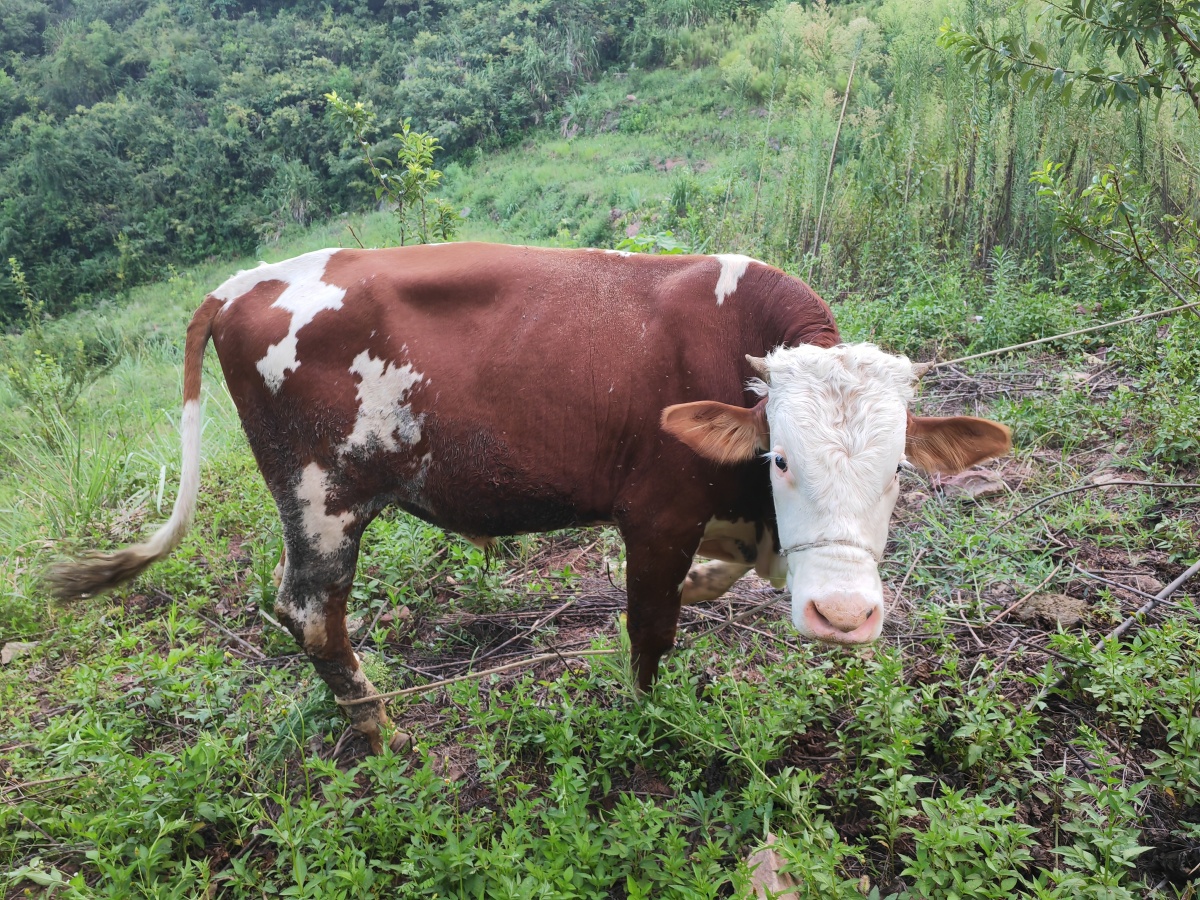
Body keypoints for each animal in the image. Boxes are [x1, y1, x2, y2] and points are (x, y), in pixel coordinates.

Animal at [44, 241, 1012, 753]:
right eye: (780, 460)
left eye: (898, 470)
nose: (843, 615)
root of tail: (245, 280)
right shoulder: (656, 513)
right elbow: (651, 628)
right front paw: (648, 712)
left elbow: (717, 576)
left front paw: (712, 581)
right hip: (321, 497)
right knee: (312, 612)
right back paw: (381, 730)